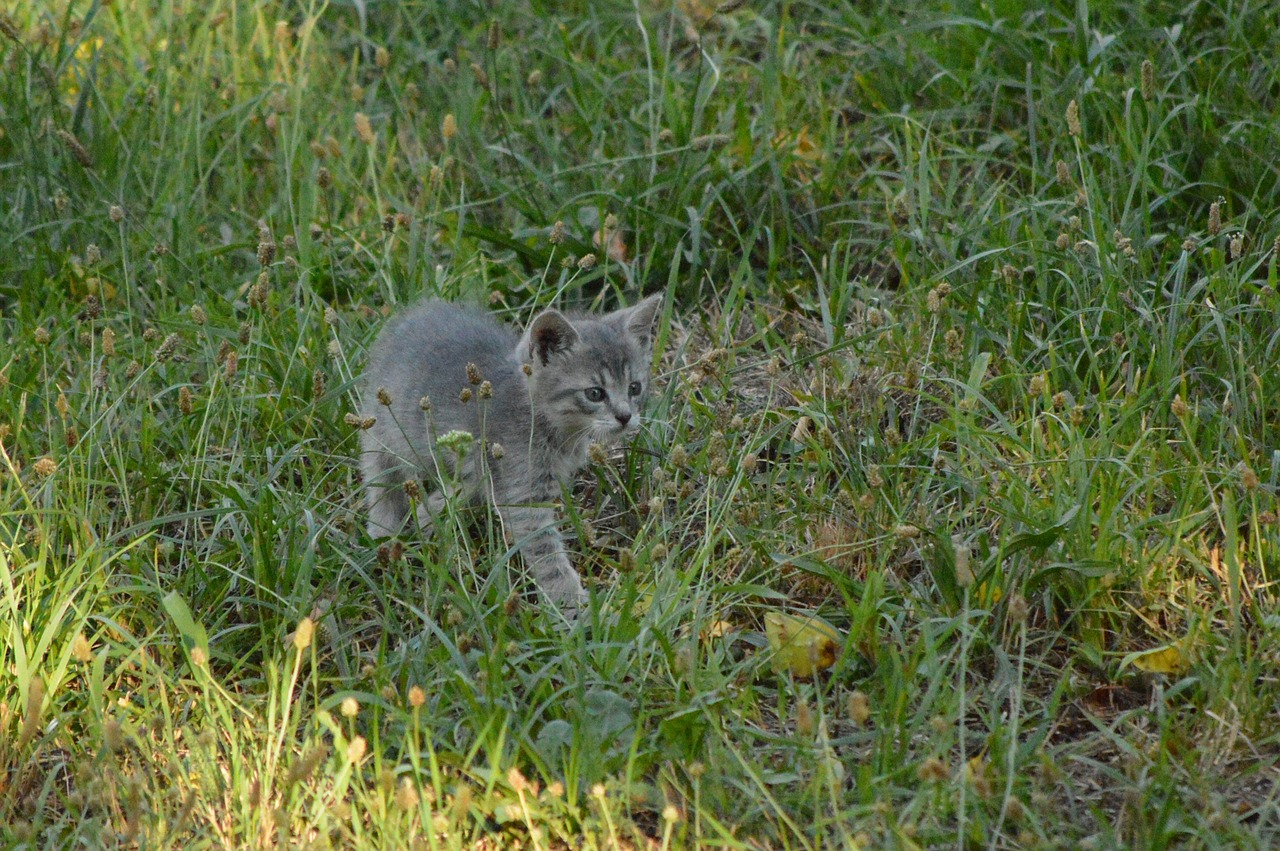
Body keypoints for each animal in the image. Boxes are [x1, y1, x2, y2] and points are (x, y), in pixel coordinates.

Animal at [358, 294, 665, 611]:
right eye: (595, 393)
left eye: (634, 387)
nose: (625, 416)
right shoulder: (523, 495)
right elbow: (547, 555)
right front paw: (572, 602)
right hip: (385, 430)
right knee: (380, 474)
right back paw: (383, 531)